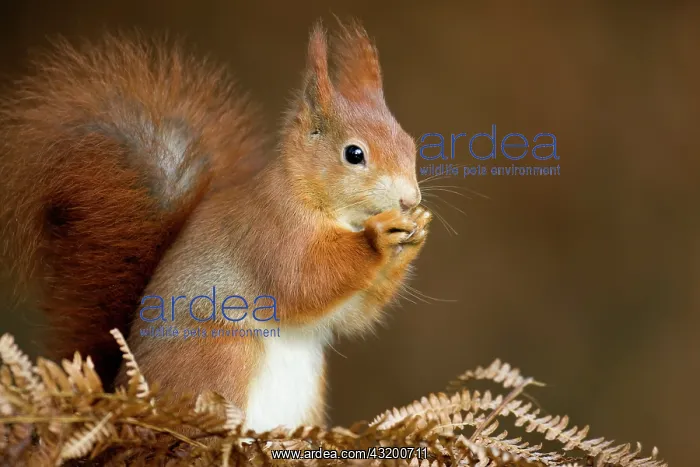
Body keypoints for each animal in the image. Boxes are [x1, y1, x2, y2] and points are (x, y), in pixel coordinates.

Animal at [0, 21, 431, 432]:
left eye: (409, 143)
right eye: (354, 154)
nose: (410, 200)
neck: (318, 201)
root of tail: (123, 392)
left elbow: (351, 315)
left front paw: (416, 234)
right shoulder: (270, 230)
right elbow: (303, 280)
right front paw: (378, 239)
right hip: (222, 352)